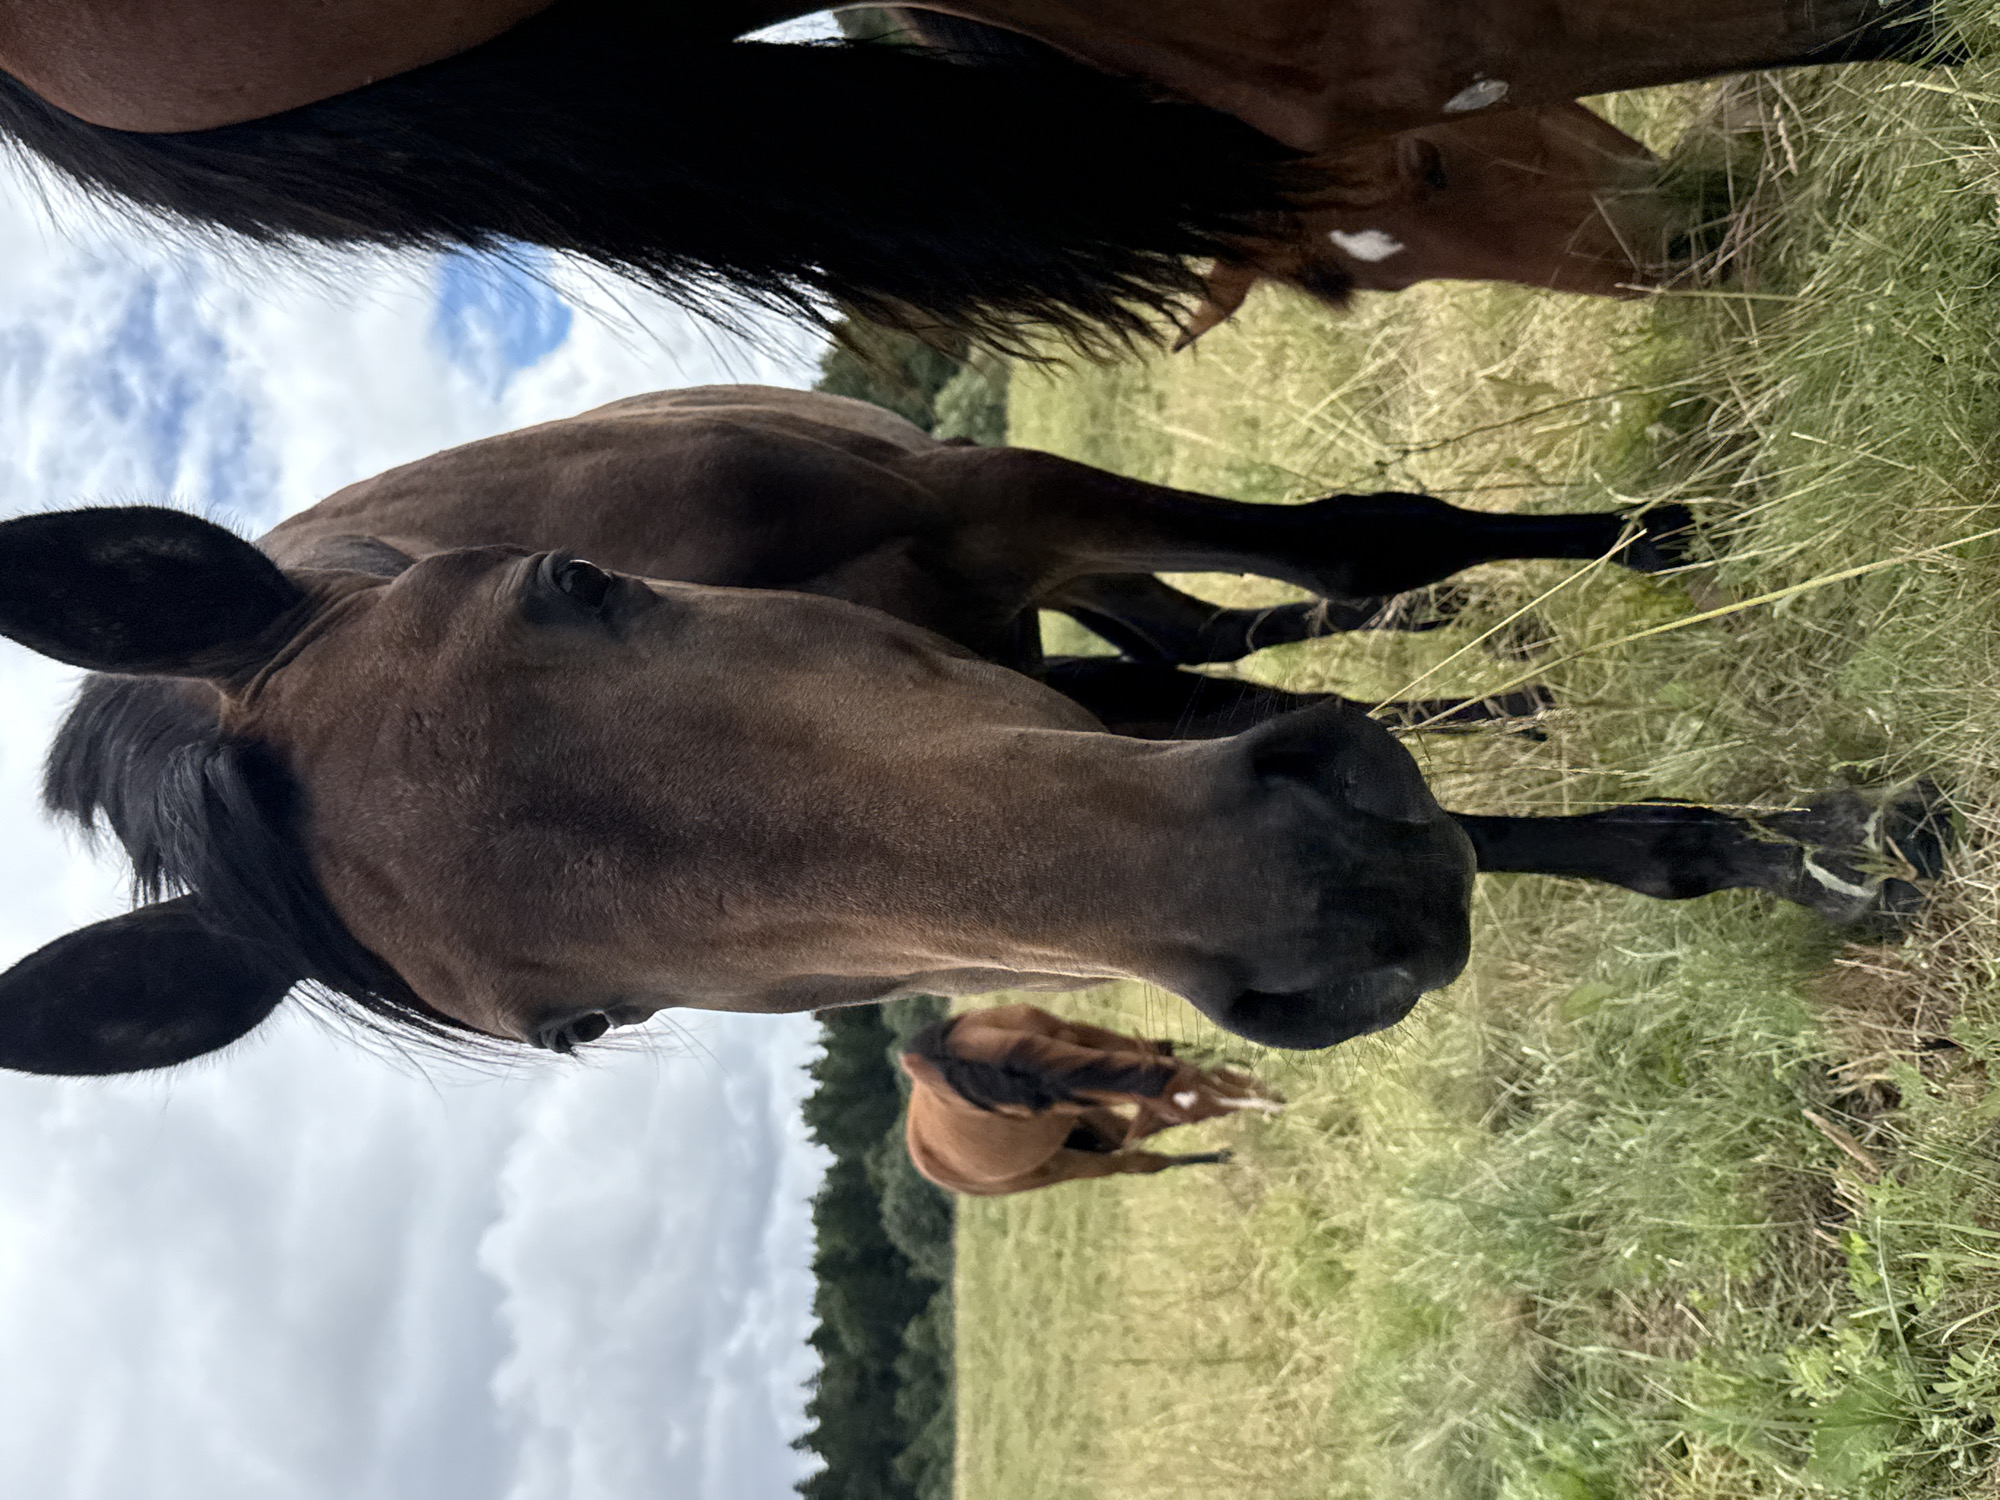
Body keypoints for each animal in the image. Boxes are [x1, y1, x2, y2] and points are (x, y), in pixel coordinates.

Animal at [0, 386, 1948, 1076]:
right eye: (584, 1023)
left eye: (578, 584)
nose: (1327, 906)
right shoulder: (1060, 723)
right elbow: (1381, 757)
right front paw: (1774, 850)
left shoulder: (995, 505)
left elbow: (1357, 537)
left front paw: (1665, 553)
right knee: (1230, 664)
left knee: (1264, 618)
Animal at [898, 1003, 1282, 1197]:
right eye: (1192, 1119)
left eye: (1198, 1078)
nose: (1272, 1104)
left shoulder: (1076, 1037)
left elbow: (1161, 1049)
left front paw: (1247, 1059)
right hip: (1068, 1167)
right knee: (1139, 1161)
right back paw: (1216, 1156)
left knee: (1122, 1136)